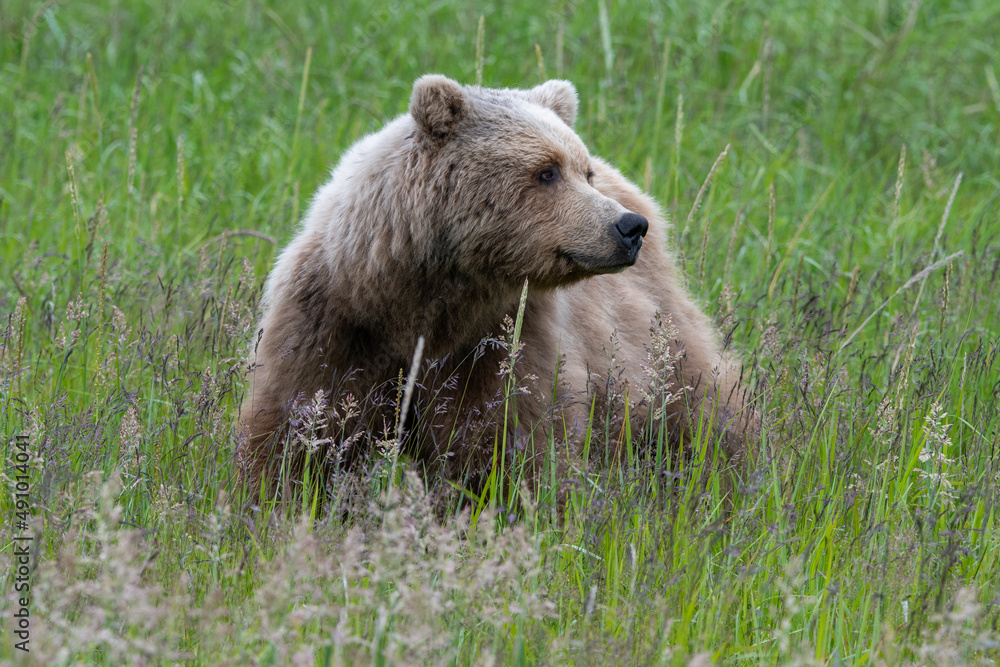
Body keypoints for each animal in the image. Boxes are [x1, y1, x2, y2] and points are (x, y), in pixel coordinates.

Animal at [238, 74, 756, 497]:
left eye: (582, 170)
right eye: (546, 170)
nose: (629, 227)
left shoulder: (501, 338)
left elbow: (503, 440)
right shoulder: (335, 324)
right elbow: (299, 425)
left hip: (652, 335)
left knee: (700, 405)